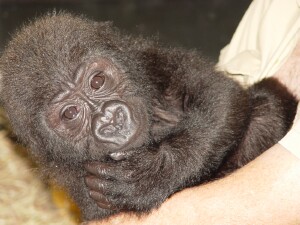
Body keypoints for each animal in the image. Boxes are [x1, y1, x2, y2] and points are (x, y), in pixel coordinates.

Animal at [0, 12, 296, 220]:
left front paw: (152, 175)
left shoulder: (152, 59)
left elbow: (219, 94)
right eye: (71, 113)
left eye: (97, 82)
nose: (110, 119)